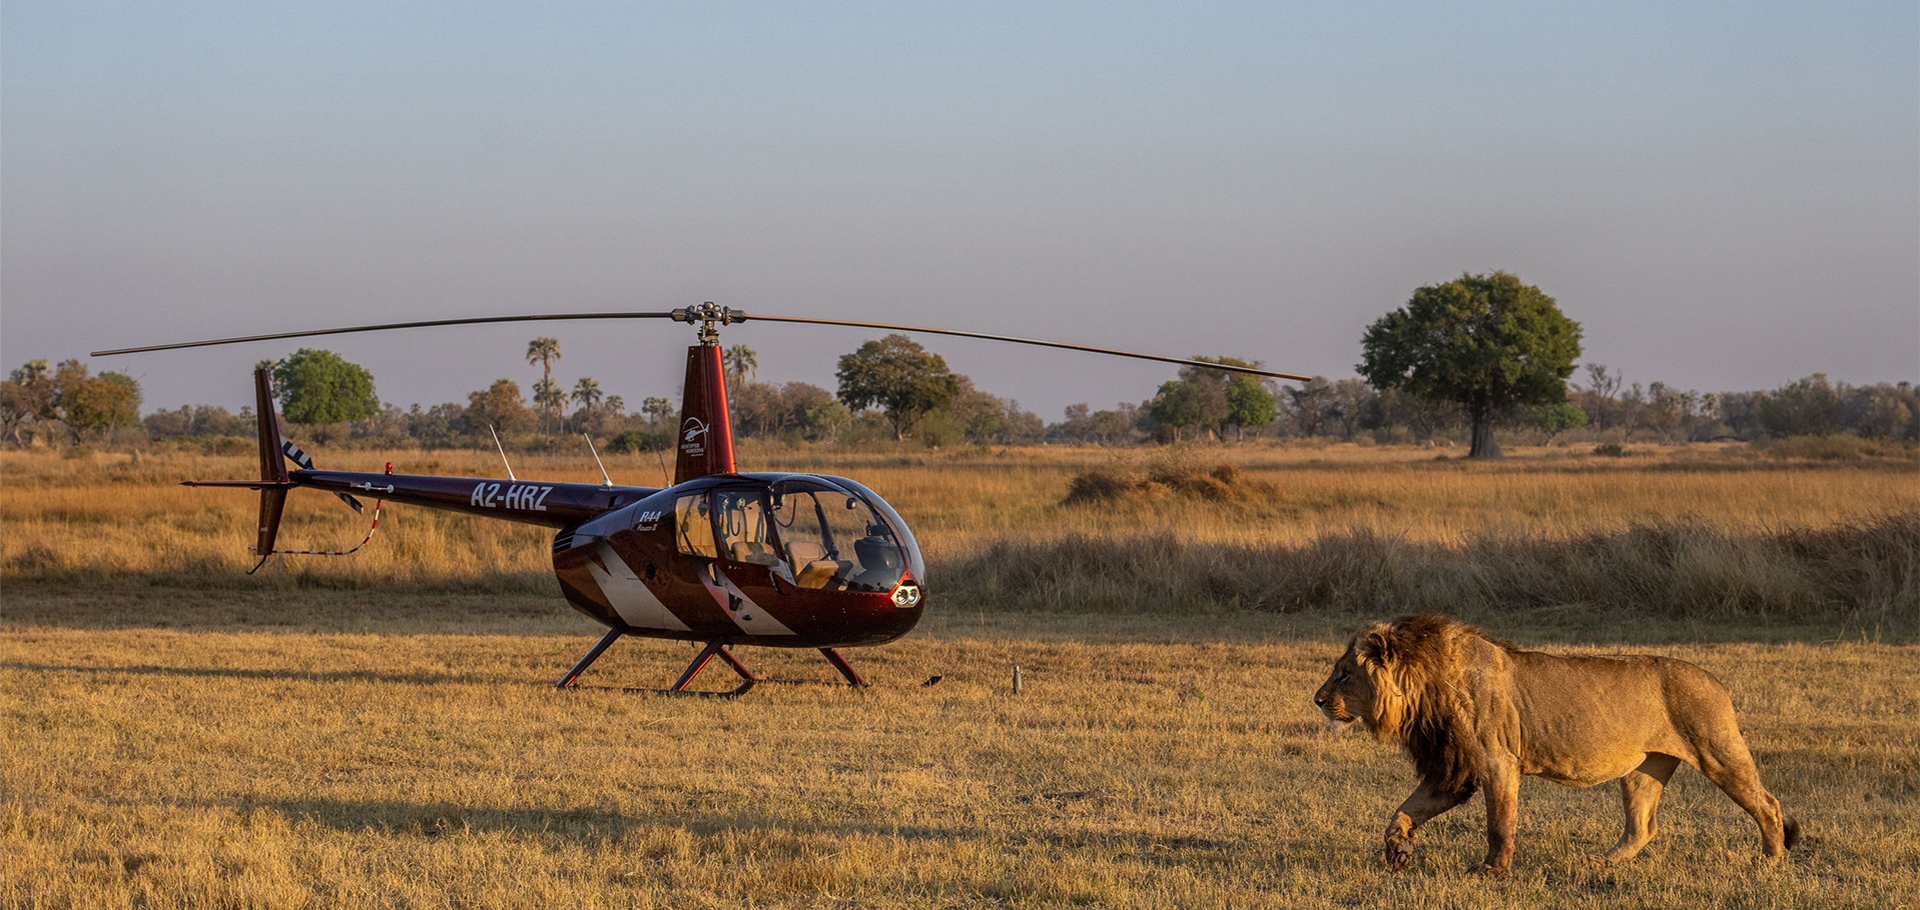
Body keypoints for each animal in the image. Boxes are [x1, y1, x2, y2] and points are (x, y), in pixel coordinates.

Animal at [1313, 613, 1799, 876]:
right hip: (1644, 769)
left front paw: (1492, 872)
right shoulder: (1455, 769)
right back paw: (1601, 864)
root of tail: (1716, 681)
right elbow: (1403, 810)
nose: (1317, 700)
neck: (1425, 689)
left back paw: (1771, 860)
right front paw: (1397, 851)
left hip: (1719, 753)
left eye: (1344, 674)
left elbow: (1499, 824)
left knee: (1768, 804)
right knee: (1642, 827)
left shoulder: (1497, 761)